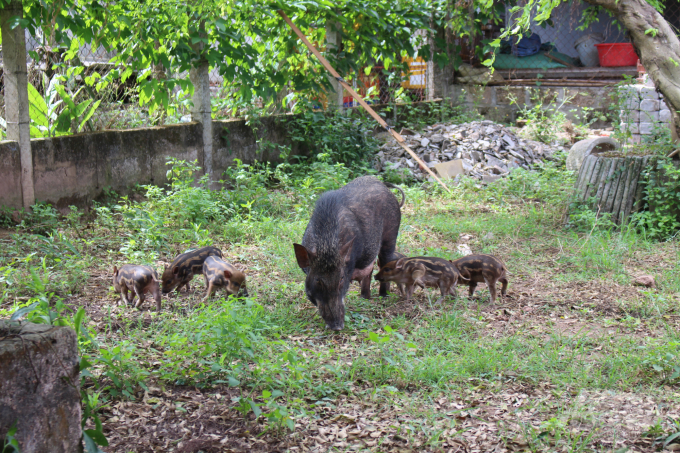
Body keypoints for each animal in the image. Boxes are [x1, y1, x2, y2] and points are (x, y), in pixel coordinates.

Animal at [292, 176, 404, 328]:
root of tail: (384, 186)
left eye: (341, 278)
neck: (327, 245)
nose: (337, 327)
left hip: (391, 234)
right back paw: (364, 297)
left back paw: (383, 296)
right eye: (318, 281)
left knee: (385, 262)